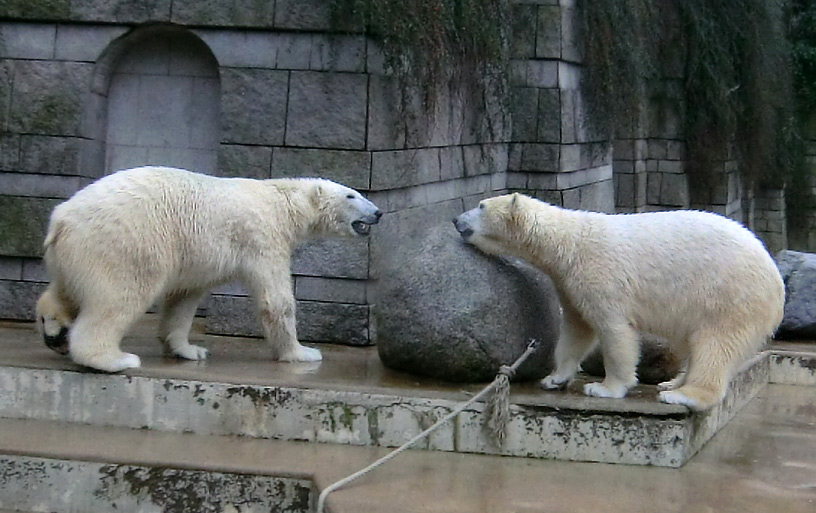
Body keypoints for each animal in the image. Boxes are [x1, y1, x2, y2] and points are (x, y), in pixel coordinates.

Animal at [35, 166, 382, 370]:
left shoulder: (196, 256)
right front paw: (302, 352)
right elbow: (275, 300)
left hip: (74, 251)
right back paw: (114, 359)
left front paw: (189, 350)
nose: (378, 212)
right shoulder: (262, 236)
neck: (282, 201)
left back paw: (54, 329)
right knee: (120, 294)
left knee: (66, 289)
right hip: (124, 241)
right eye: (352, 195)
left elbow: (184, 298)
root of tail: (61, 218)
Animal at [452, 193, 784, 412]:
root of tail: (776, 280)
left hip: (729, 297)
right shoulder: (569, 283)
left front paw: (604, 388)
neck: (570, 243)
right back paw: (672, 383)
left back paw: (683, 394)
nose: (455, 218)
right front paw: (554, 378)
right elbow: (576, 330)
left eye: (481, 205)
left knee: (716, 345)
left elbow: (614, 331)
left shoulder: (602, 276)